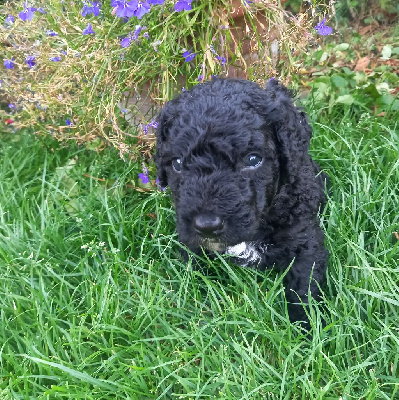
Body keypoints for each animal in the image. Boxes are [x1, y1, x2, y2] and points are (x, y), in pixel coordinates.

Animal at [155, 79, 328, 328]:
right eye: (177, 164)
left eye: (253, 159)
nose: (206, 225)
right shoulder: (192, 243)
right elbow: (194, 271)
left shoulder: (305, 240)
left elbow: (304, 286)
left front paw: (307, 327)